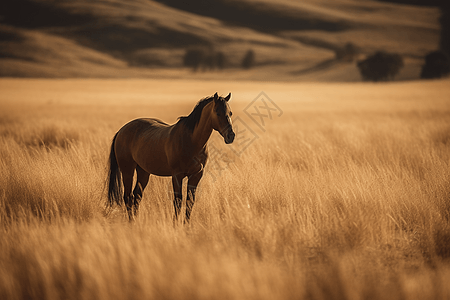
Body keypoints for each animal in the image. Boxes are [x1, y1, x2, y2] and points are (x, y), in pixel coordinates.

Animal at [107, 92, 236, 221]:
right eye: (217, 112)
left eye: (230, 113)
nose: (231, 136)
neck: (191, 141)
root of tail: (121, 131)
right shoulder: (177, 176)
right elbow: (178, 201)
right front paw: (175, 224)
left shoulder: (196, 175)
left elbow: (190, 202)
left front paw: (186, 224)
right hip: (127, 171)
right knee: (127, 197)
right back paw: (131, 221)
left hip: (143, 172)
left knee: (137, 195)